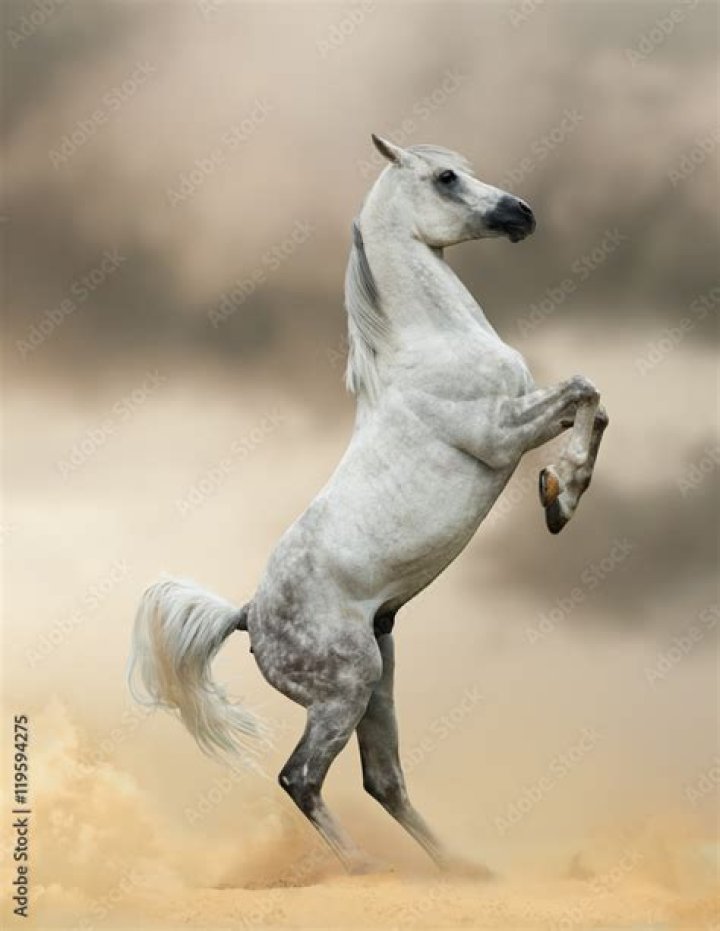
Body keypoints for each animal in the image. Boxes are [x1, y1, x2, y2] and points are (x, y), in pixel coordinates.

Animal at [128, 134, 608, 874]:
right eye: (446, 177)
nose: (522, 214)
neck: (432, 345)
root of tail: (247, 615)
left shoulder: (522, 417)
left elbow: (594, 402)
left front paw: (560, 493)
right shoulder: (501, 434)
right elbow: (584, 389)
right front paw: (559, 493)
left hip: (380, 681)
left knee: (383, 779)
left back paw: (460, 871)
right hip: (346, 689)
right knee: (300, 777)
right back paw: (362, 867)